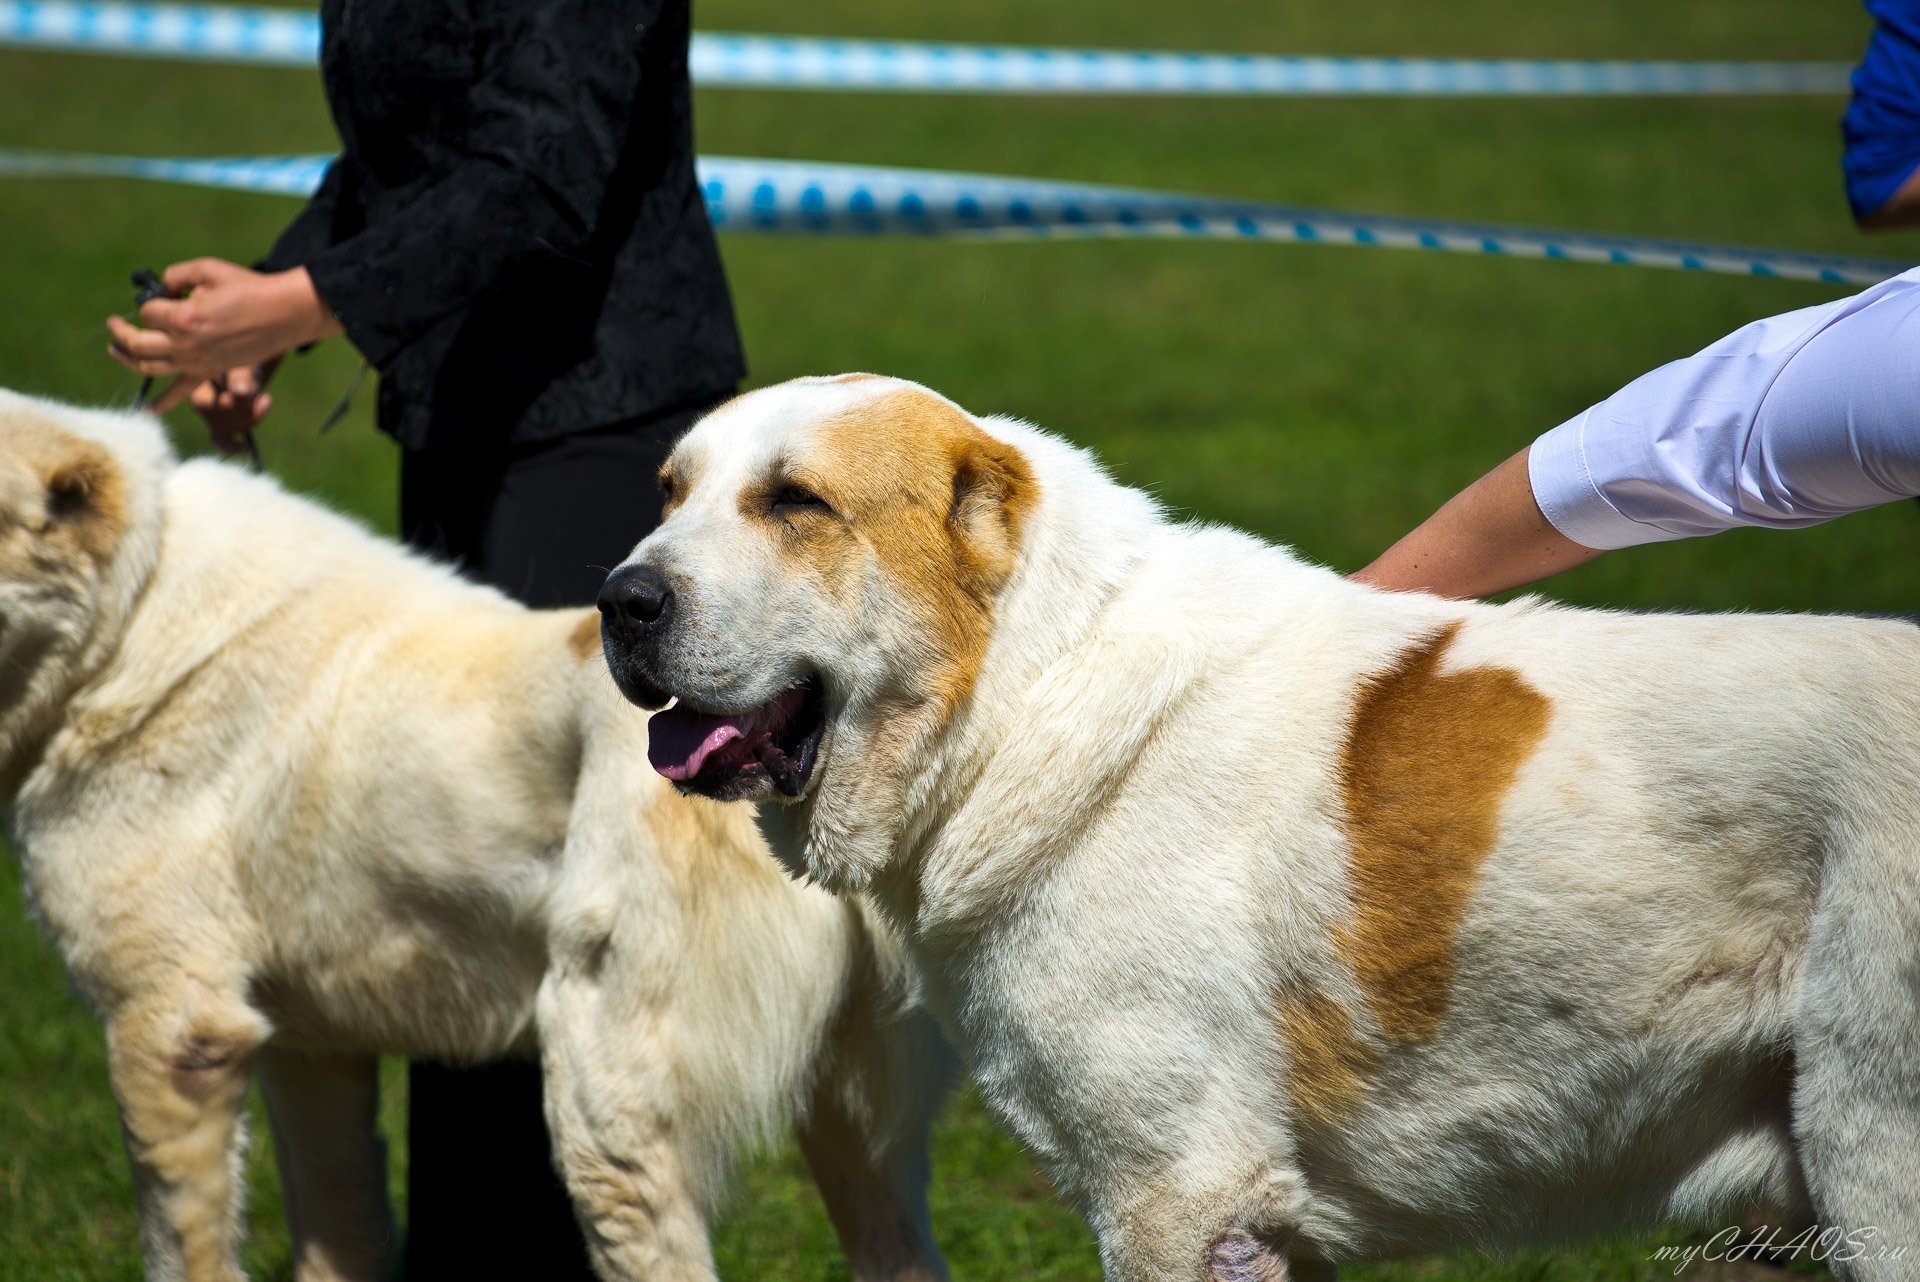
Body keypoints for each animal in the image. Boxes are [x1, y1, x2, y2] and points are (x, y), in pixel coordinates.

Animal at [602, 372, 1920, 1282]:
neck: (1028, 687)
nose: (622, 596)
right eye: (668, 493)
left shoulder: (1179, 1196)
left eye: (795, 503)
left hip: (1875, 1151)